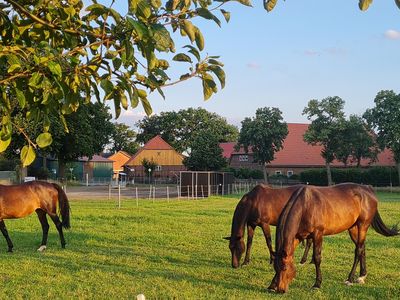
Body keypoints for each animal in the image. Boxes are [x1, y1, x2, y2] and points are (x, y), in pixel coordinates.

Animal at [268, 183, 400, 292]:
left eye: (285, 268)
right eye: (275, 268)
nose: (280, 290)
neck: (305, 205)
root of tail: (368, 189)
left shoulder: (318, 234)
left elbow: (317, 258)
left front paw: (317, 284)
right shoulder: (297, 237)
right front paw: (272, 285)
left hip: (363, 225)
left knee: (358, 250)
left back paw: (350, 279)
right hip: (353, 228)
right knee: (362, 247)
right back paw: (362, 276)